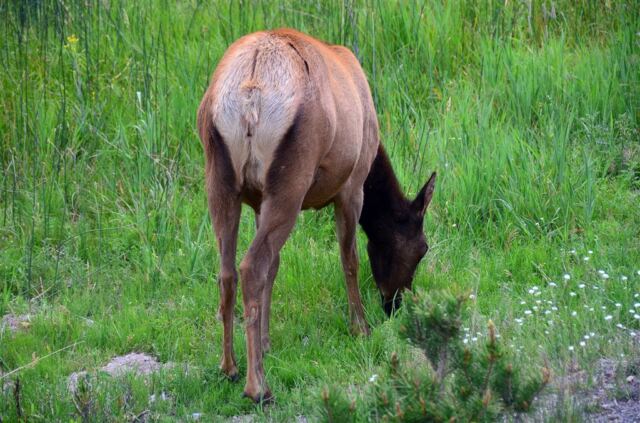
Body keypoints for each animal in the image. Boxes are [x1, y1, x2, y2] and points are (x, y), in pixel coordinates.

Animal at [197, 28, 436, 402]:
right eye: (422, 248)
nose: (395, 305)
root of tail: (250, 95)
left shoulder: (258, 200)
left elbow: (276, 267)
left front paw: (266, 342)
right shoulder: (352, 184)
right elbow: (350, 258)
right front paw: (361, 327)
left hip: (220, 178)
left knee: (228, 271)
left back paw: (230, 367)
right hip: (291, 177)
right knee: (251, 267)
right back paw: (258, 387)